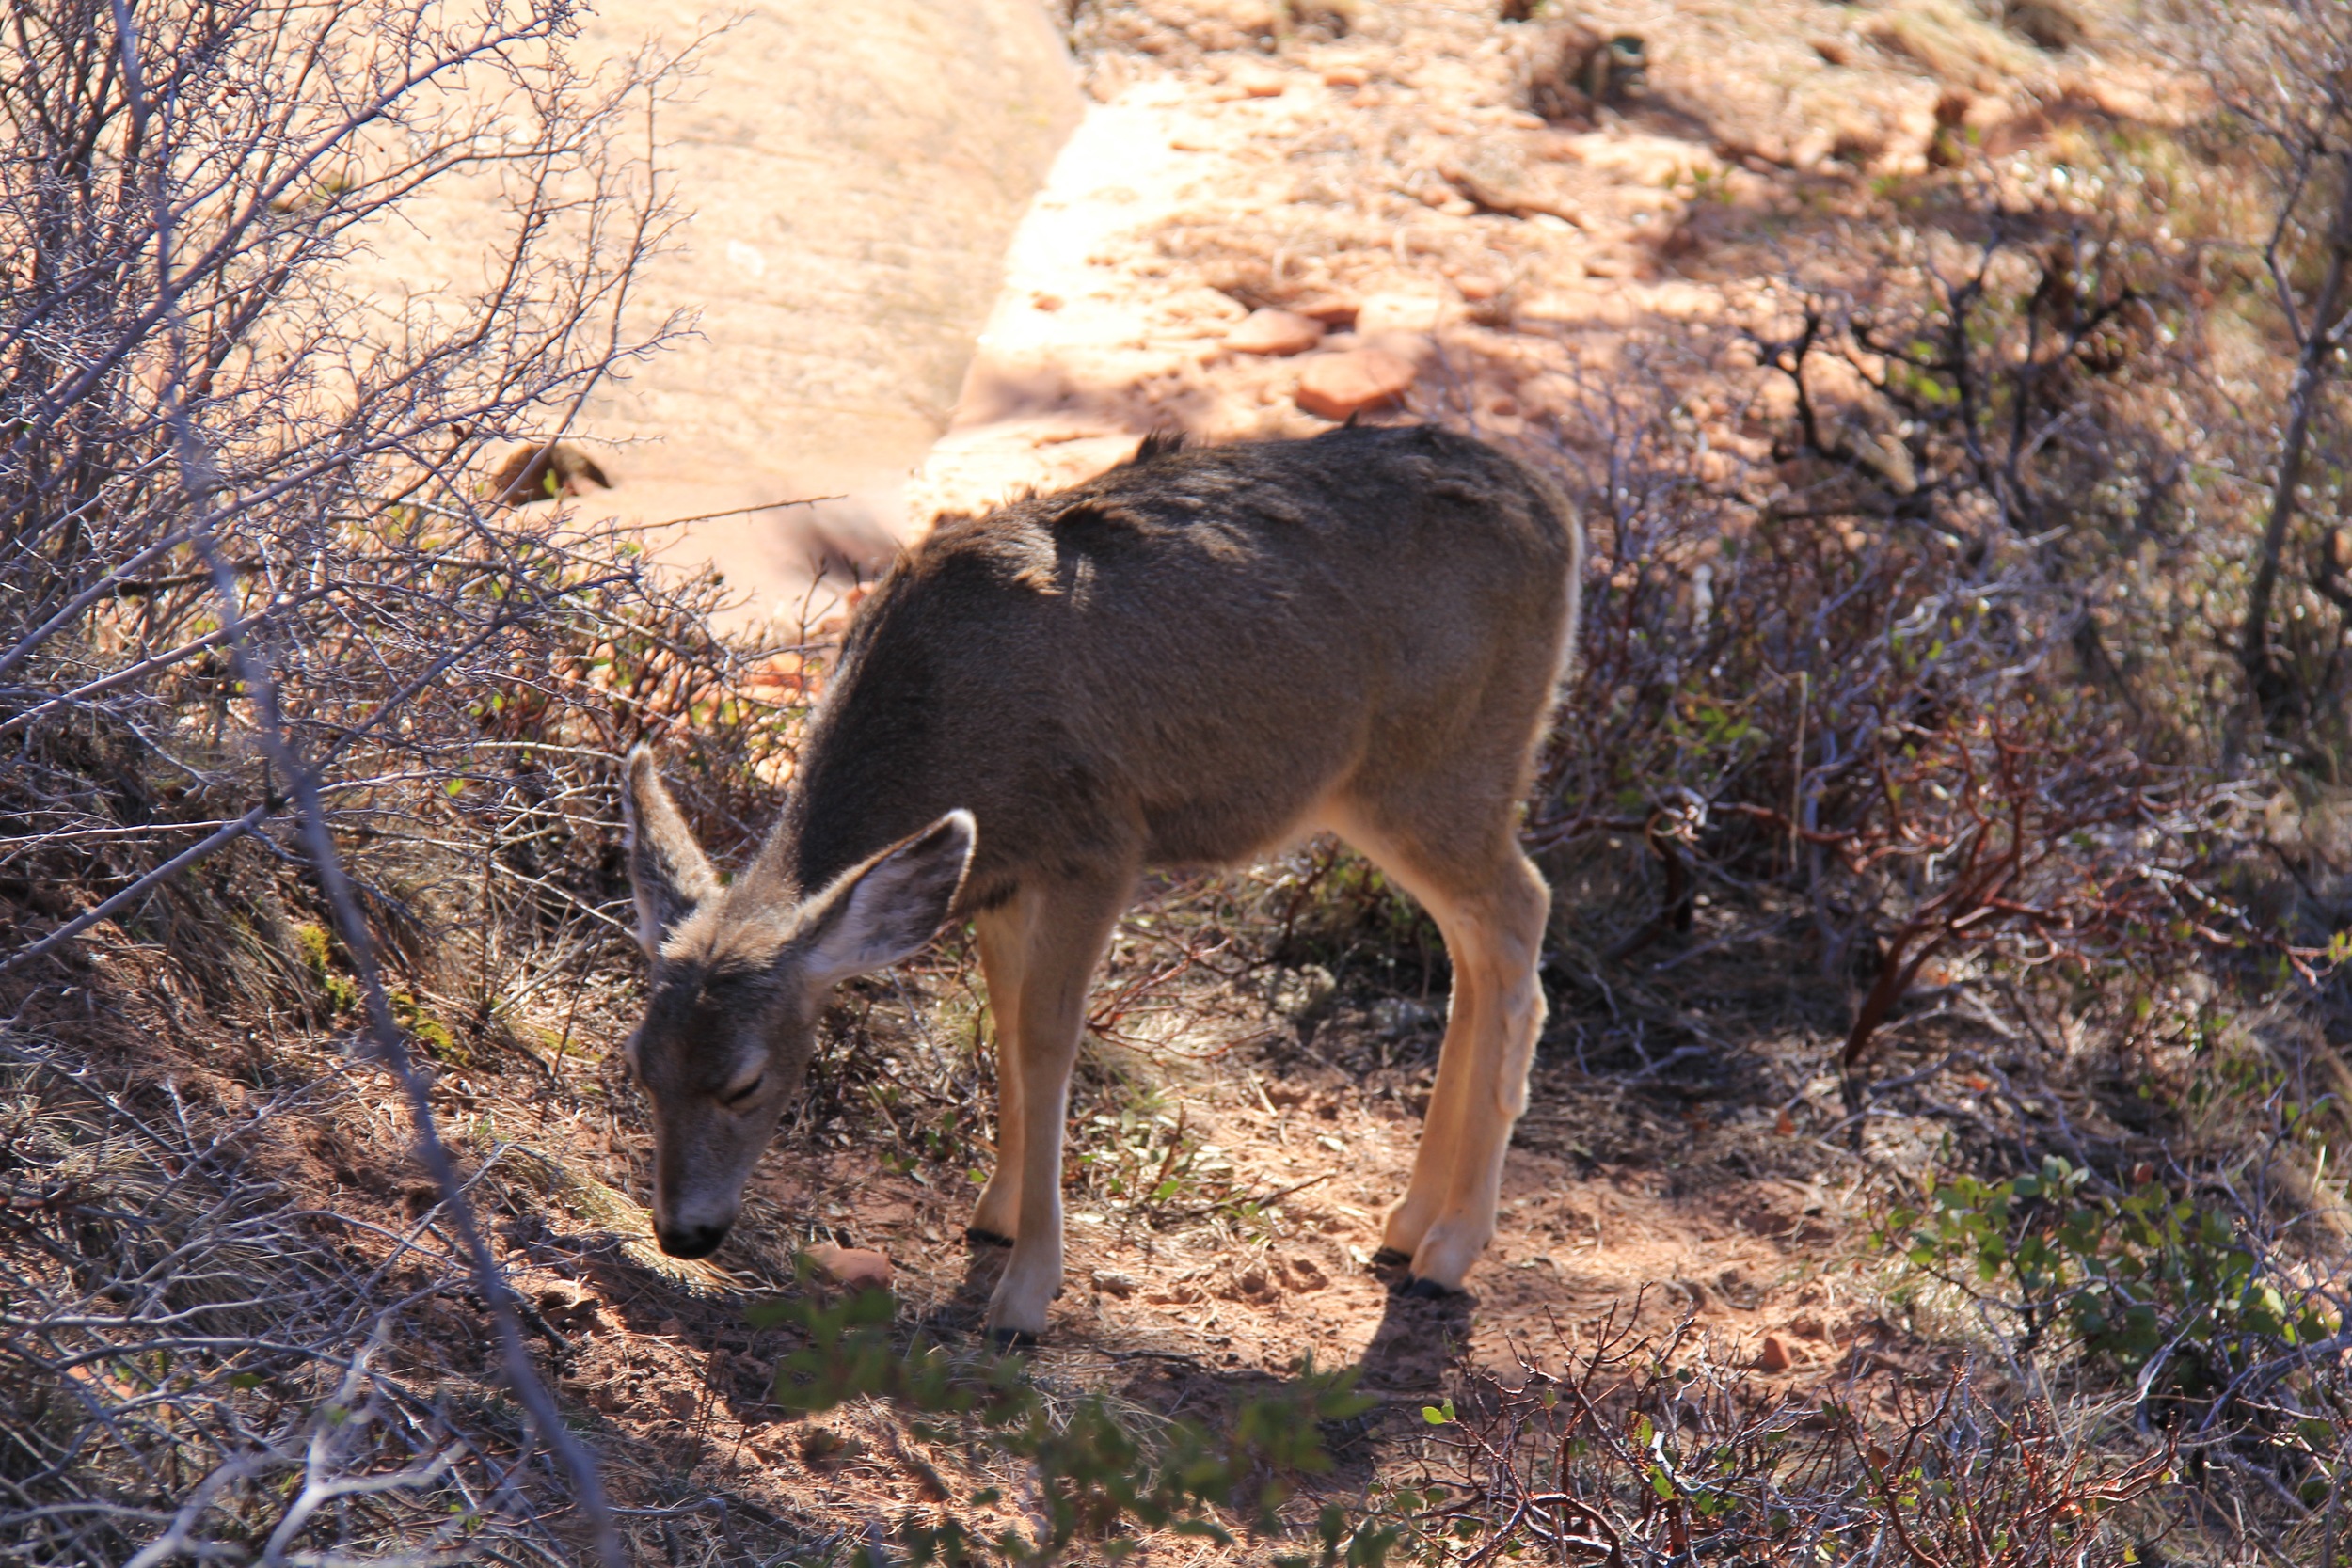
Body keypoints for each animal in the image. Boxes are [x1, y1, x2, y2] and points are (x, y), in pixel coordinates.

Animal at [621, 422, 1581, 1344]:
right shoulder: (999, 872)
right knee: (1476, 950)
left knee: (1522, 914)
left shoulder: (1097, 845)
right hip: (1388, 792)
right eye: (641, 1067)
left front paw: (1024, 1295)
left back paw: (1451, 1247)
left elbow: (1049, 1039)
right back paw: (1409, 1222)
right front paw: (996, 1215)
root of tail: (1560, 515)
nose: (683, 1232)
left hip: (1442, 765)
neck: (950, 721)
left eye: (744, 1083)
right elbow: (1006, 1019)